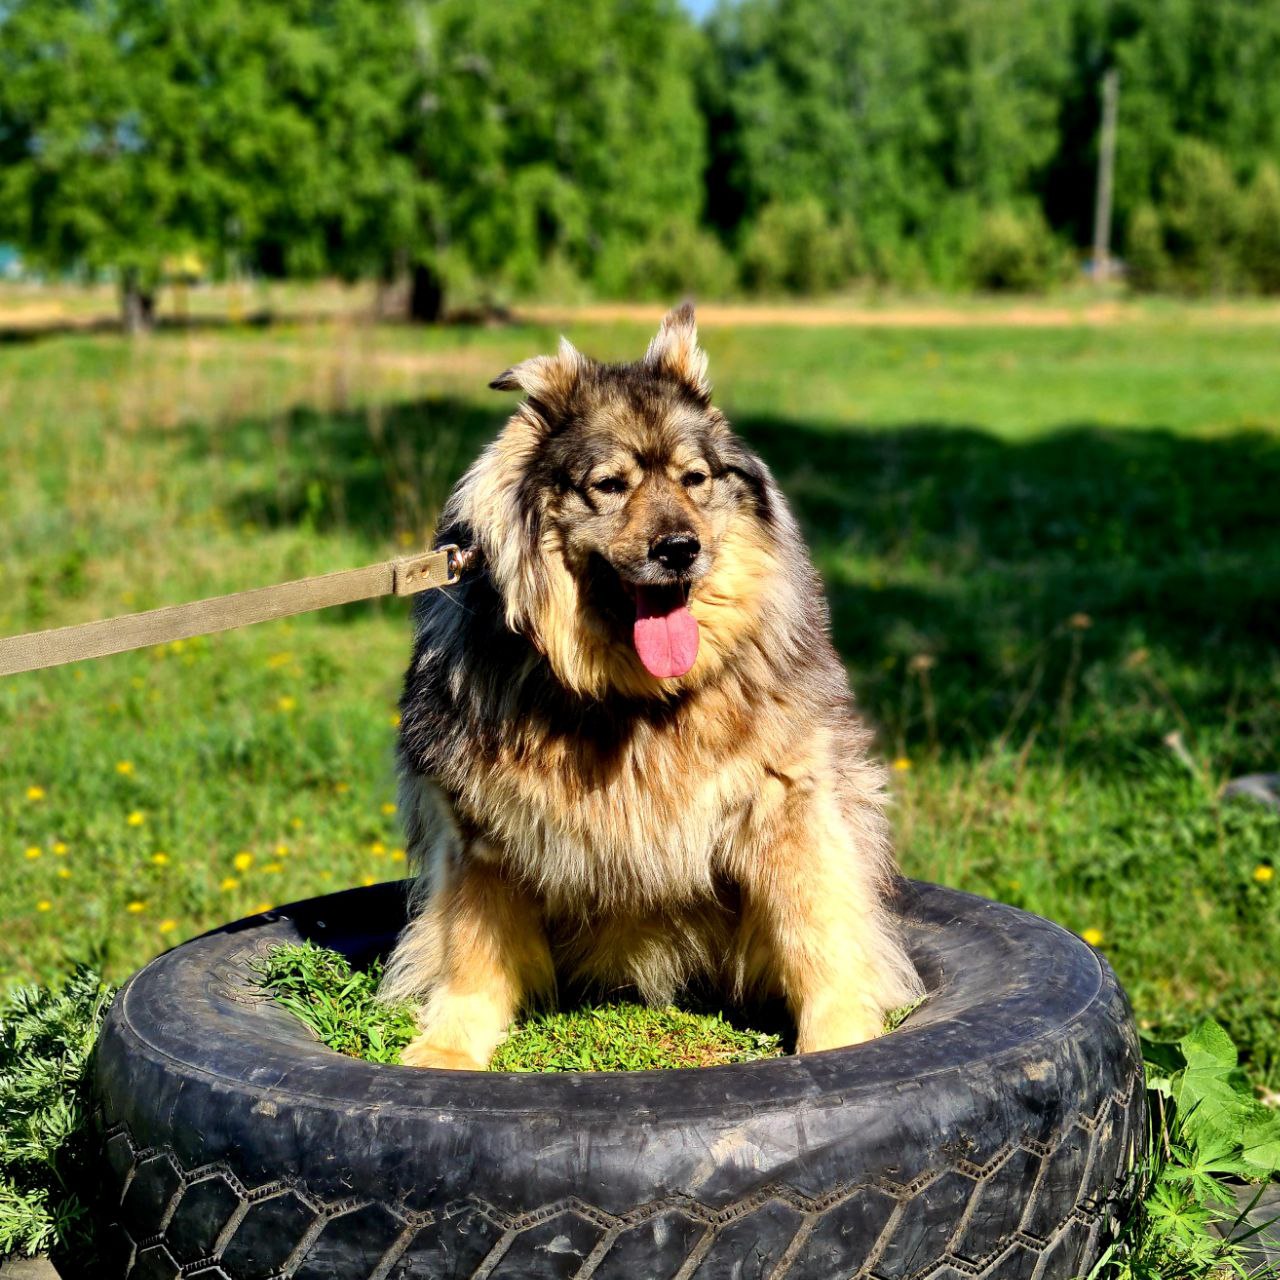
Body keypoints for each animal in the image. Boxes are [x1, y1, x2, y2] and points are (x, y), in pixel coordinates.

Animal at [378, 302, 921, 1070]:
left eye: (695, 479)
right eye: (610, 485)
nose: (680, 549)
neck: (629, 696)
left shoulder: (790, 800)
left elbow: (817, 930)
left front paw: (842, 1039)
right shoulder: (479, 824)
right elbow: (471, 952)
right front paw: (447, 1052)